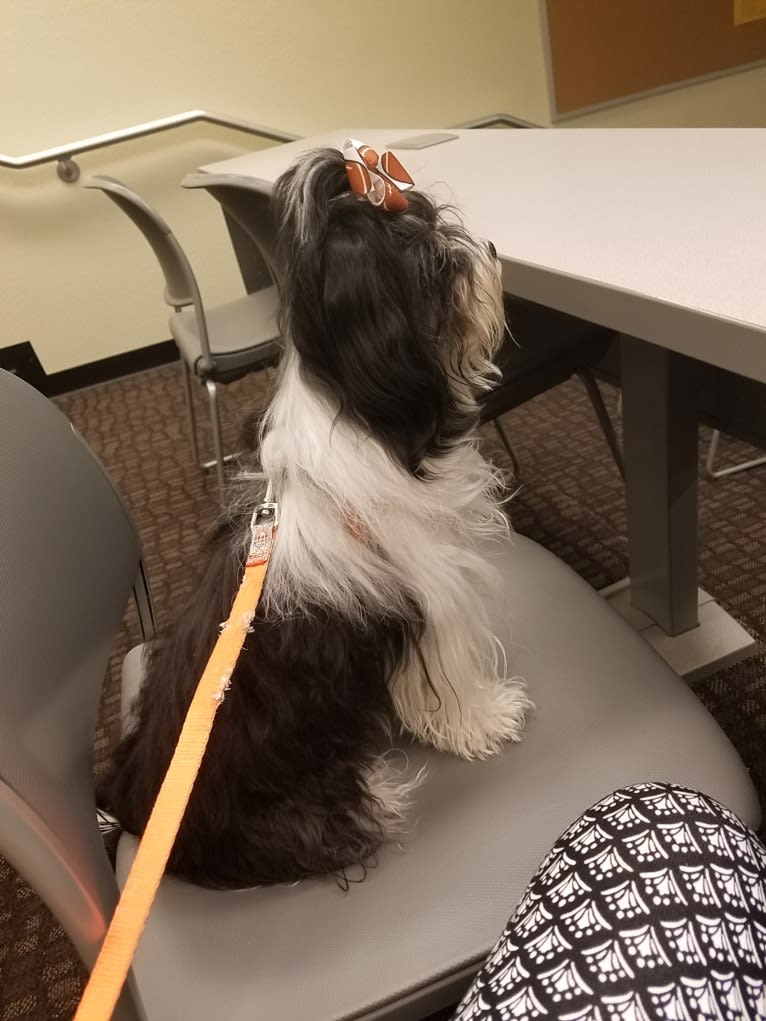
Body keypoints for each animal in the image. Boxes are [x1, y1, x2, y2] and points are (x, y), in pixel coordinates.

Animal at [105, 141, 531, 886]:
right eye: (430, 261)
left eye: (437, 222)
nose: (488, 248)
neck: (364, 407)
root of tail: (134, 803)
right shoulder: (434, 598)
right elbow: (452, 677)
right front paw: (488, 719)